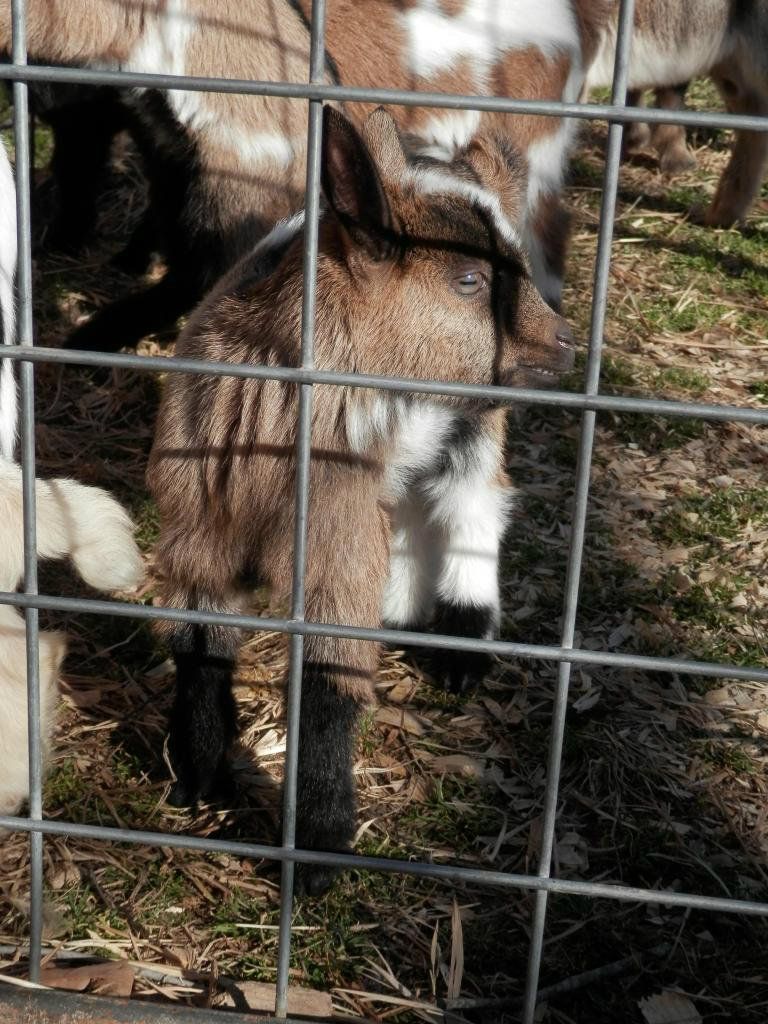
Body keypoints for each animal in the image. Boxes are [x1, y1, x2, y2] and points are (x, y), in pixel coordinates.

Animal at [147, 106, 575, 893]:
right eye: (469, 279)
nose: (565, 343)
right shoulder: (199, 533)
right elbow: (199, 650)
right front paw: (196, 774)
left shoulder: (333, 547)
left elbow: (328, 687)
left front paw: (318, 850)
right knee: (409, 513)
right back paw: (404, 612)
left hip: (475, 423)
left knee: (473, 505)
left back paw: (463, 640)